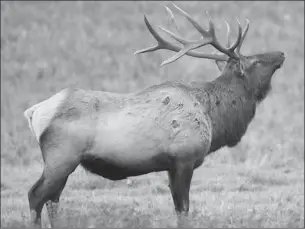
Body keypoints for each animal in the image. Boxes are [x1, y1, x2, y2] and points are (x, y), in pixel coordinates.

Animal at [24, 3, 284, 227]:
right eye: (255, 61)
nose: (281, 53)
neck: (214, 118)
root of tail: (34, 111)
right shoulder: (184, 158)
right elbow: (184, 210)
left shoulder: (171, 165)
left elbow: (178, 209)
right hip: (62, 156)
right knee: (35, 195)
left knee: (52, 199)